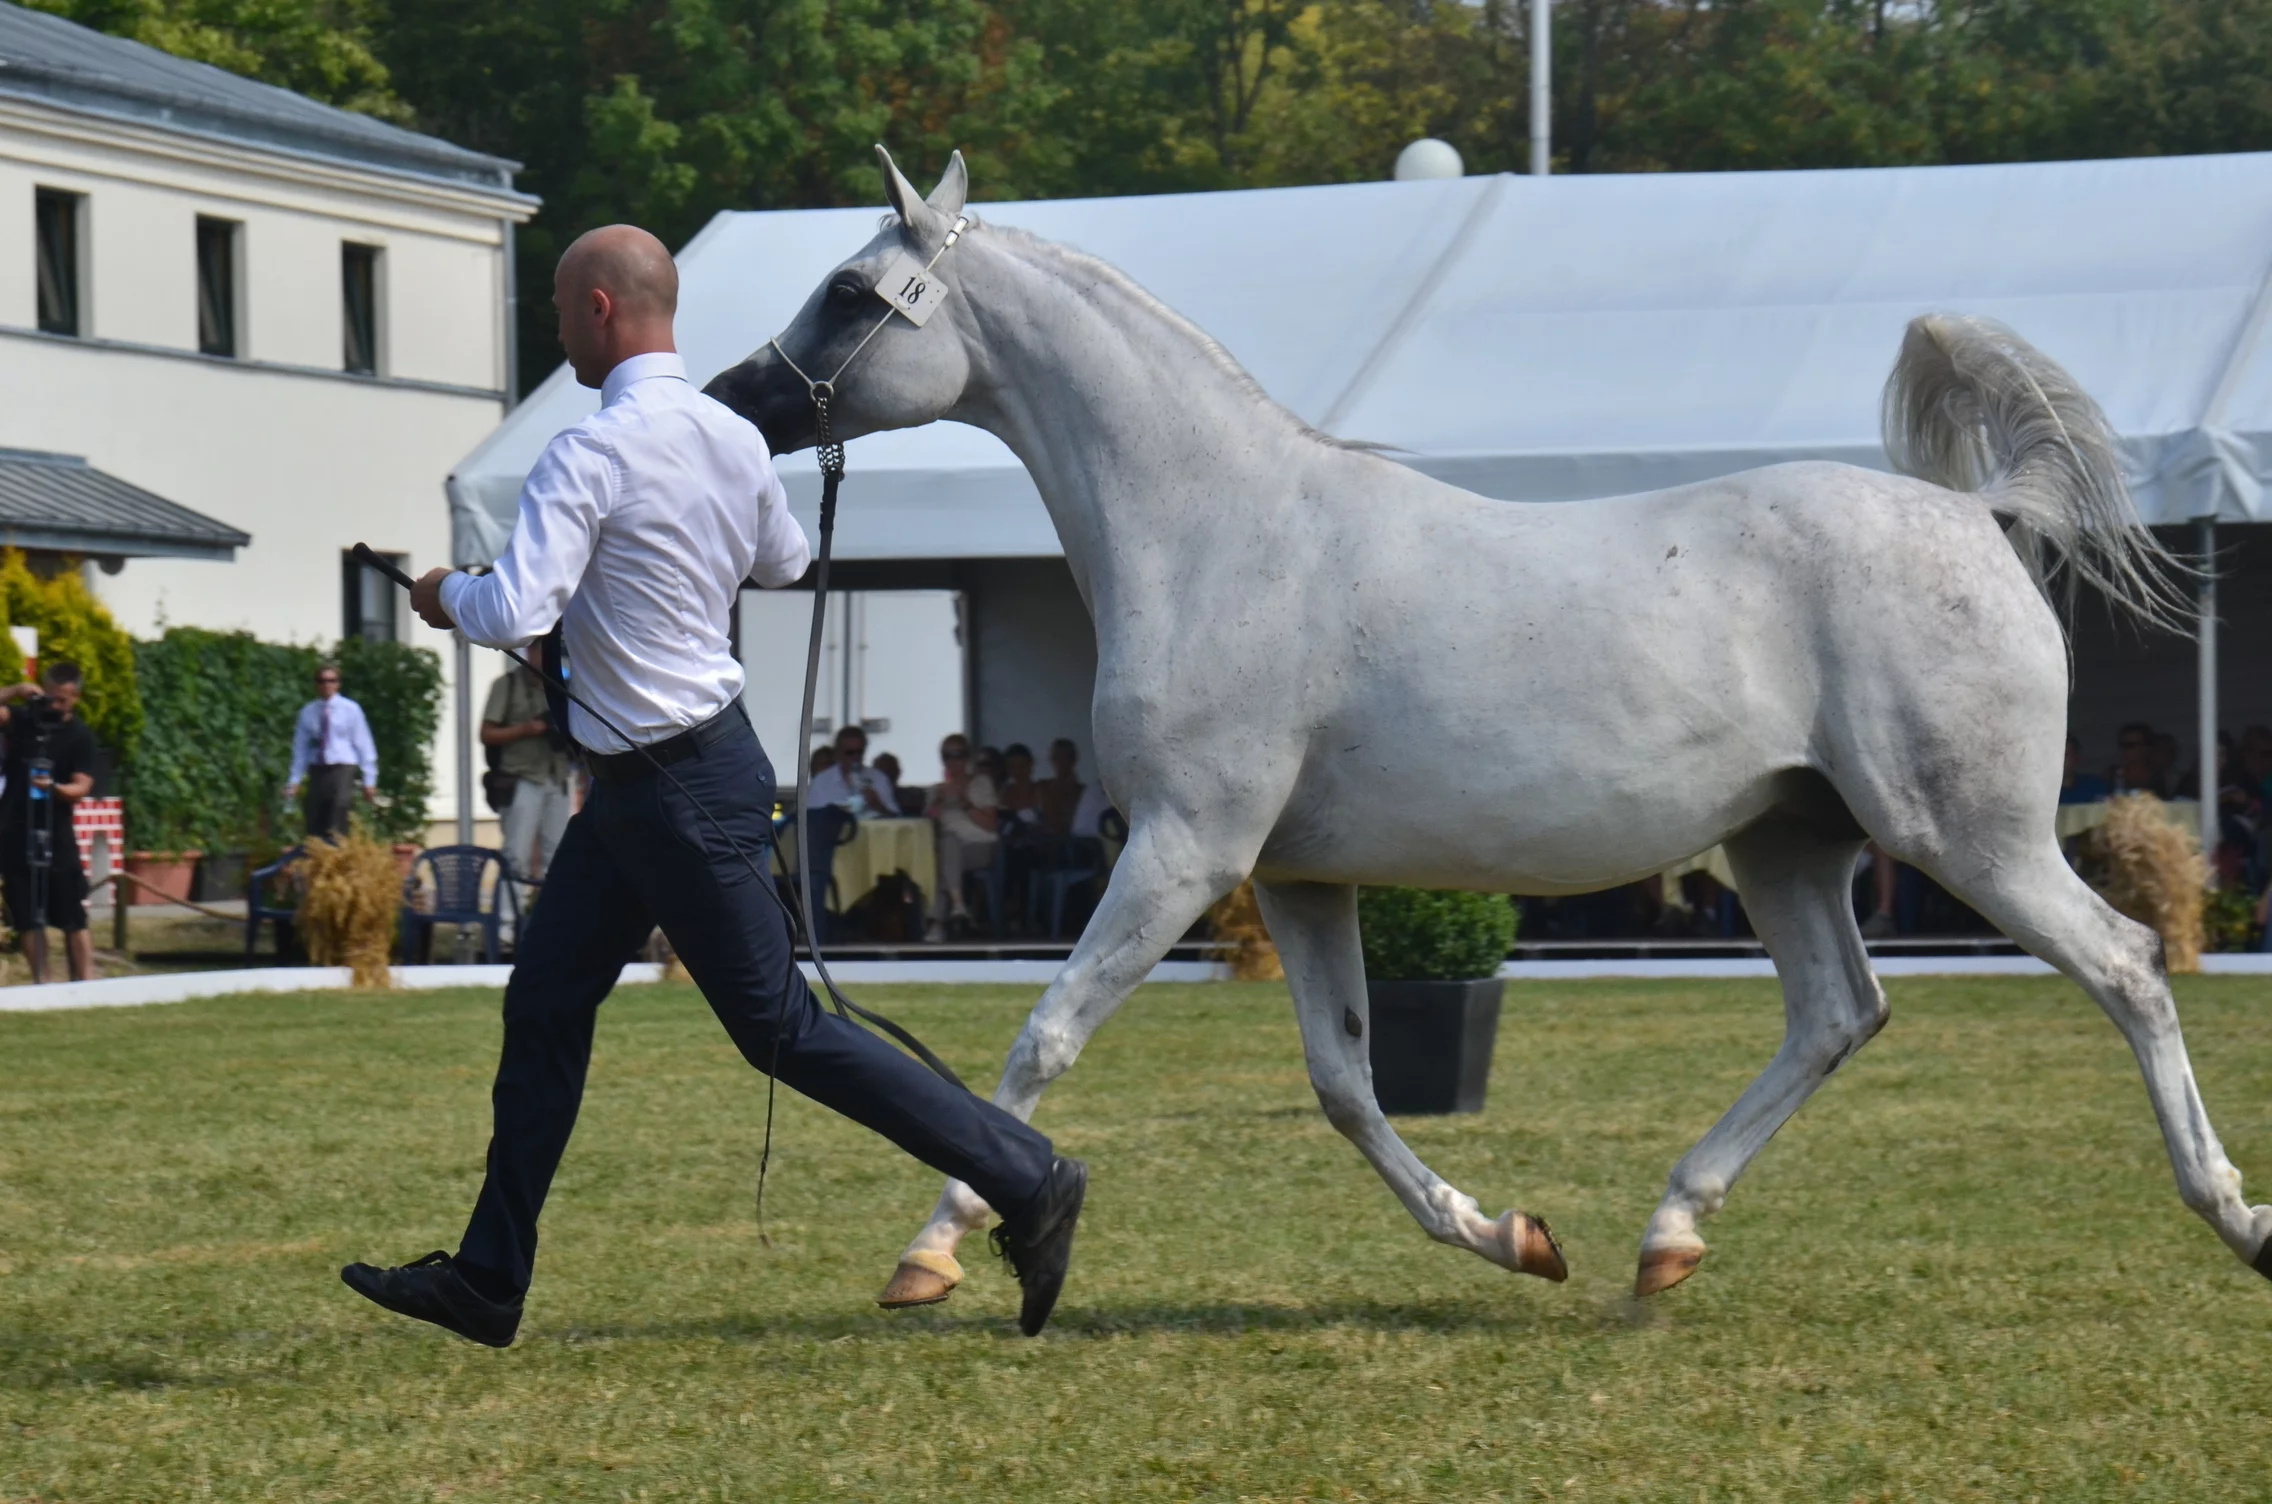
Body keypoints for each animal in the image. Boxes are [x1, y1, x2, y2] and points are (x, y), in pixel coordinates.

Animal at [699, 149, 2262, 1308]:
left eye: (849, 288)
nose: (732, 398)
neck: (1218, 533)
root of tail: (1977, 516)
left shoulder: (1185, 850)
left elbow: (1044, 1041)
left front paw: (931, 1252)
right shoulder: (1293, 877)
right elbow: (1344, 1082)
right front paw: (1509, 1236)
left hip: (1966, 836)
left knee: (2126, 965)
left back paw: (2235, 1216)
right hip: (1786, 843)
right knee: (1838, 1011)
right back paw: (1665, 1236)